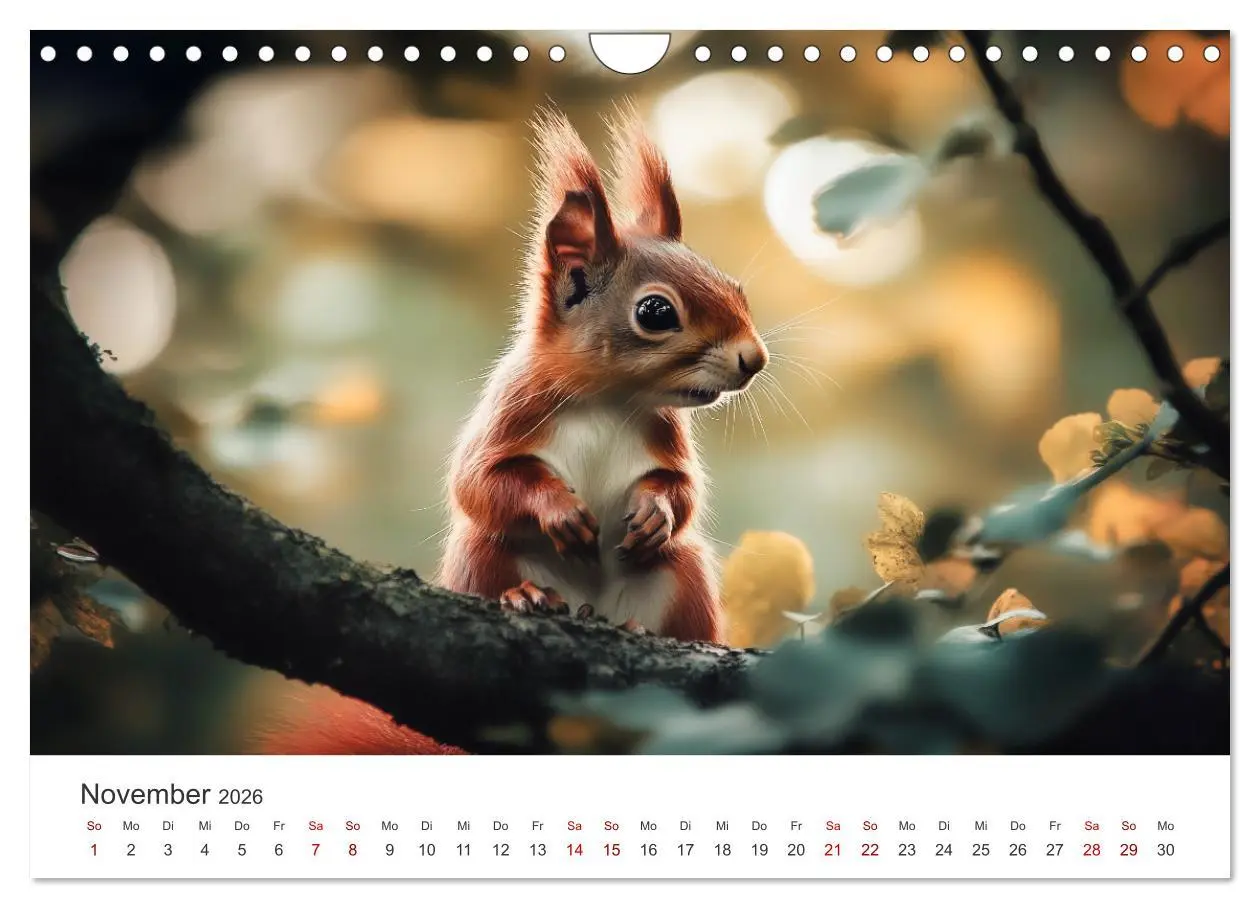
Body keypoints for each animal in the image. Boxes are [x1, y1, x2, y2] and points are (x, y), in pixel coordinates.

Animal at [256, 109, 766, 754]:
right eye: (656, 313)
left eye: (735, 288)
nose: (755, 359)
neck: (609, 400)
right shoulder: (513, 411)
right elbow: (479, 482)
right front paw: (558, 510)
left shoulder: (664, 436)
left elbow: (682, 489)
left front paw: (656, 512)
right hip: (482, 554)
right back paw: (524, 597)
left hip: (686, 576)